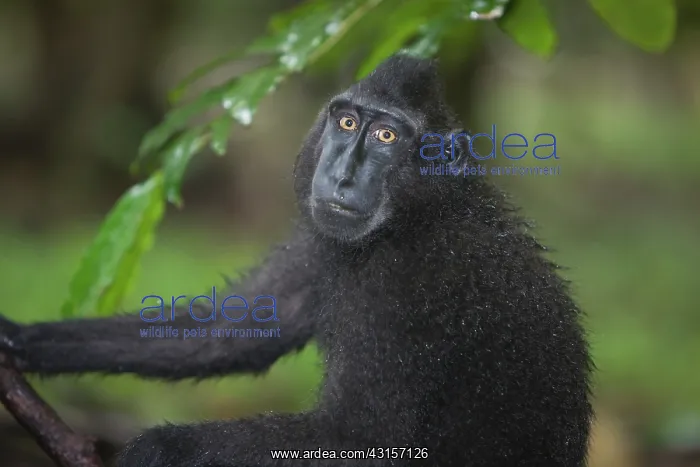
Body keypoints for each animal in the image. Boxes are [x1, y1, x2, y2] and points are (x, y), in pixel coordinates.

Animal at [0, 54, 593, 466]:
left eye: (386, 135)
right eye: (347, 123)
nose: (342, 176)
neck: (416, 216)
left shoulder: (408, 282)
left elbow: (360, 438)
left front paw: (157, 448)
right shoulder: (321, 239)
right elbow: (231, 330)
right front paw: (18, 341)